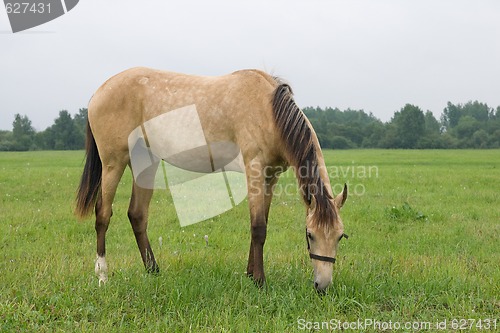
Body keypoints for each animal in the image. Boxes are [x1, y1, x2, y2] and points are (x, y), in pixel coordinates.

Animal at [75, 66, 348, 290]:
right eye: (310, 234)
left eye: (340, 236)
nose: (323, 286)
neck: (269, 111)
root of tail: (99, 92)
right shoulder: (254, 170)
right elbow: (258, 228)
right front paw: (260, 282)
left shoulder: (270, 178)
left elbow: (261, 225)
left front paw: (250, 274)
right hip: (113, 163)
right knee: (103, 214)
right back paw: (103, 276)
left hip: (145, 163)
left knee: (137, 215)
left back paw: (153, 270)